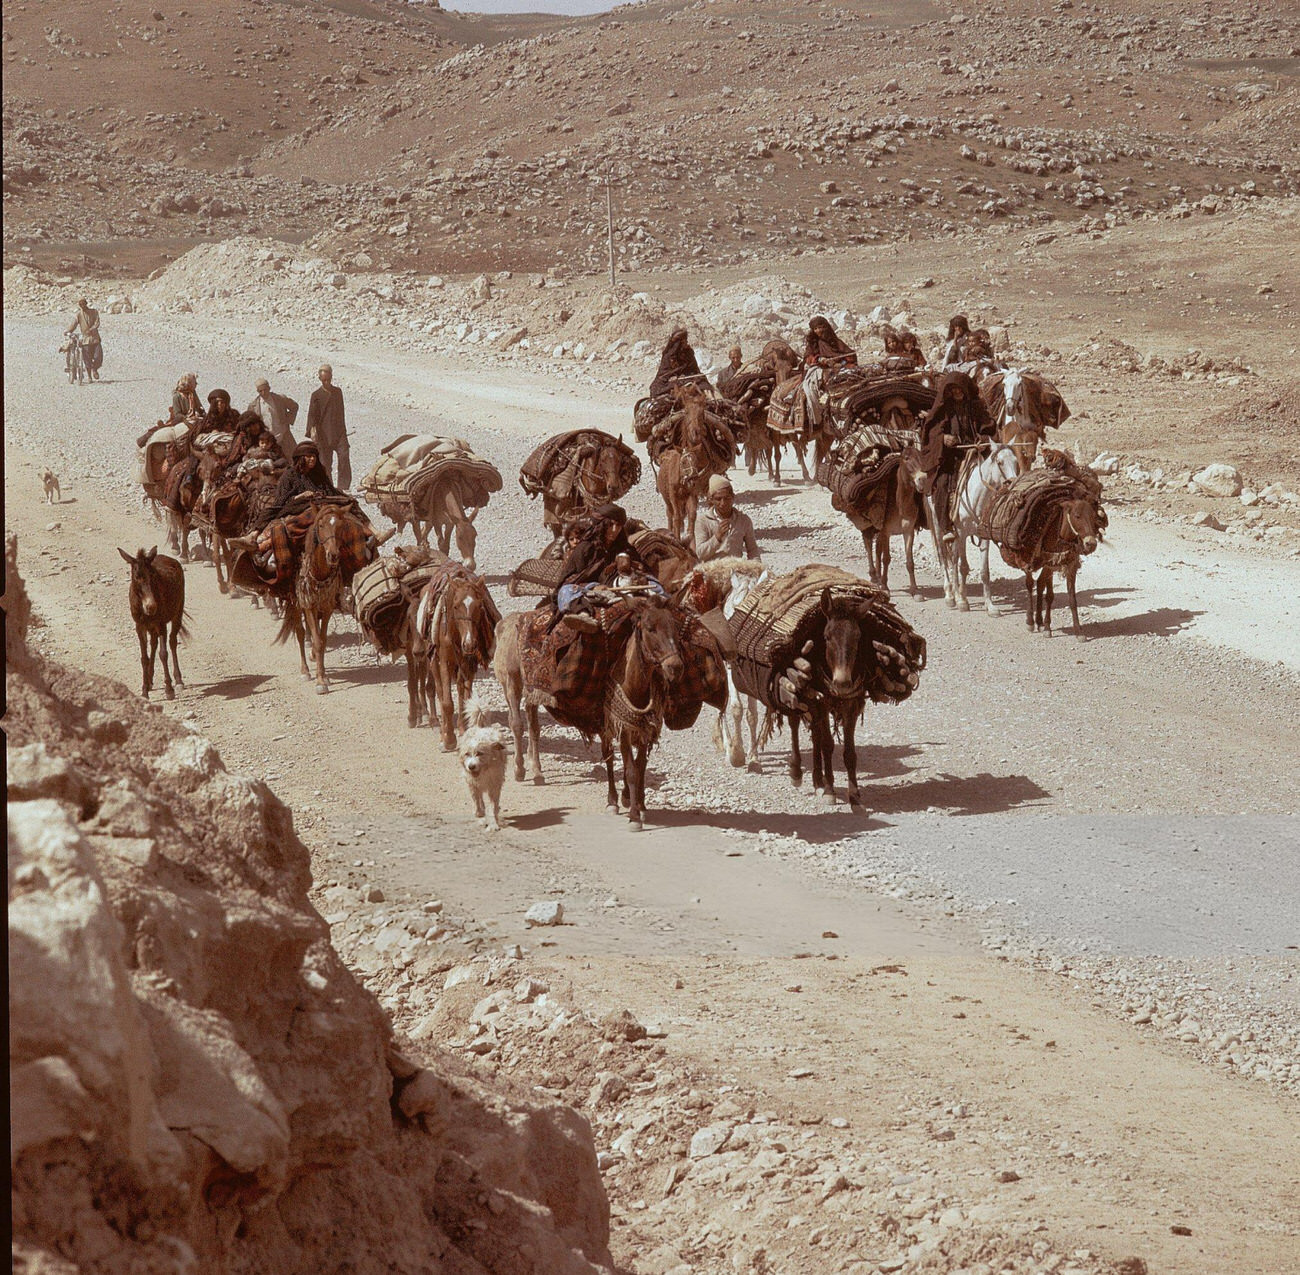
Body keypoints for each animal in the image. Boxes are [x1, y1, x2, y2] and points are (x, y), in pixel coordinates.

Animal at [118, 548, 188, 701]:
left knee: (172, 642)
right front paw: (144, 691)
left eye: (153, 576)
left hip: (177, 613)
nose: (151, 607)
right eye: (136, 577)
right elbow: (144, 658)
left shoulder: (161, 624)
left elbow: (163, 654)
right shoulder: (140, 626)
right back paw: (150, 680)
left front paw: (169, 689)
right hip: (151, 626)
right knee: (154, 644)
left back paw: (178, 681)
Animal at [460, 701, 509, 831]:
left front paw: (494, 820)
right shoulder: (472, 782)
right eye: (467, 754)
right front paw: (479, 812)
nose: (471, 766)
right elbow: (476, 797)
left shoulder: (495, 785)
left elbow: (493, 804)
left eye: (480, 753)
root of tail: (480, 727)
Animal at [946, 441, 1024, 610]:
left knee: (953, 557)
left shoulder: (983, 536)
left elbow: (984, 571)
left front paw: (990, 605)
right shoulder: (961, 533)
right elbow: (963, 566)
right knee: (945, 558)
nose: (1013, 485)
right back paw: (950, 595)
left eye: (1017, 462)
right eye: (1000, 462)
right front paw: (962, 600)